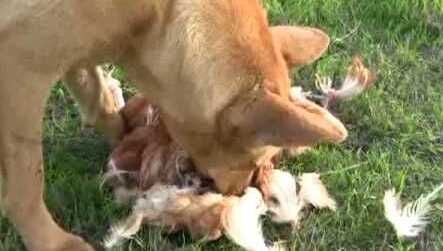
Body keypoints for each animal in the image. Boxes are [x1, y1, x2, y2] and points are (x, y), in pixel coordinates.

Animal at [0, 0, 346, 250]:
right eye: (256, 160)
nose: (241, 193)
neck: (158, 19)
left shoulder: (76, 46)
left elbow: (98, 99)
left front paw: (124, 136)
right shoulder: (20, 67)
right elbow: (28, 182)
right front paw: (49, 241)